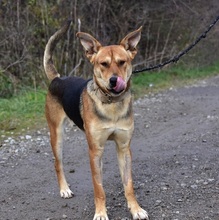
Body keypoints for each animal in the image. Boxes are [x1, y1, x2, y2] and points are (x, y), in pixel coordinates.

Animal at [43, 20, 149, 218]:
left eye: (122, 62)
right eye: (103, 64)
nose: (114, 81)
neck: (111, 103)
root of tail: (57, 79)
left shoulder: (124, 148)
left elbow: (128, 185)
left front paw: (136, 209)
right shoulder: (95, 151)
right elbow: (99, 188)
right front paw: (100, 213)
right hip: (57, 135)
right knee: (57, 164)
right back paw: (64, 189)